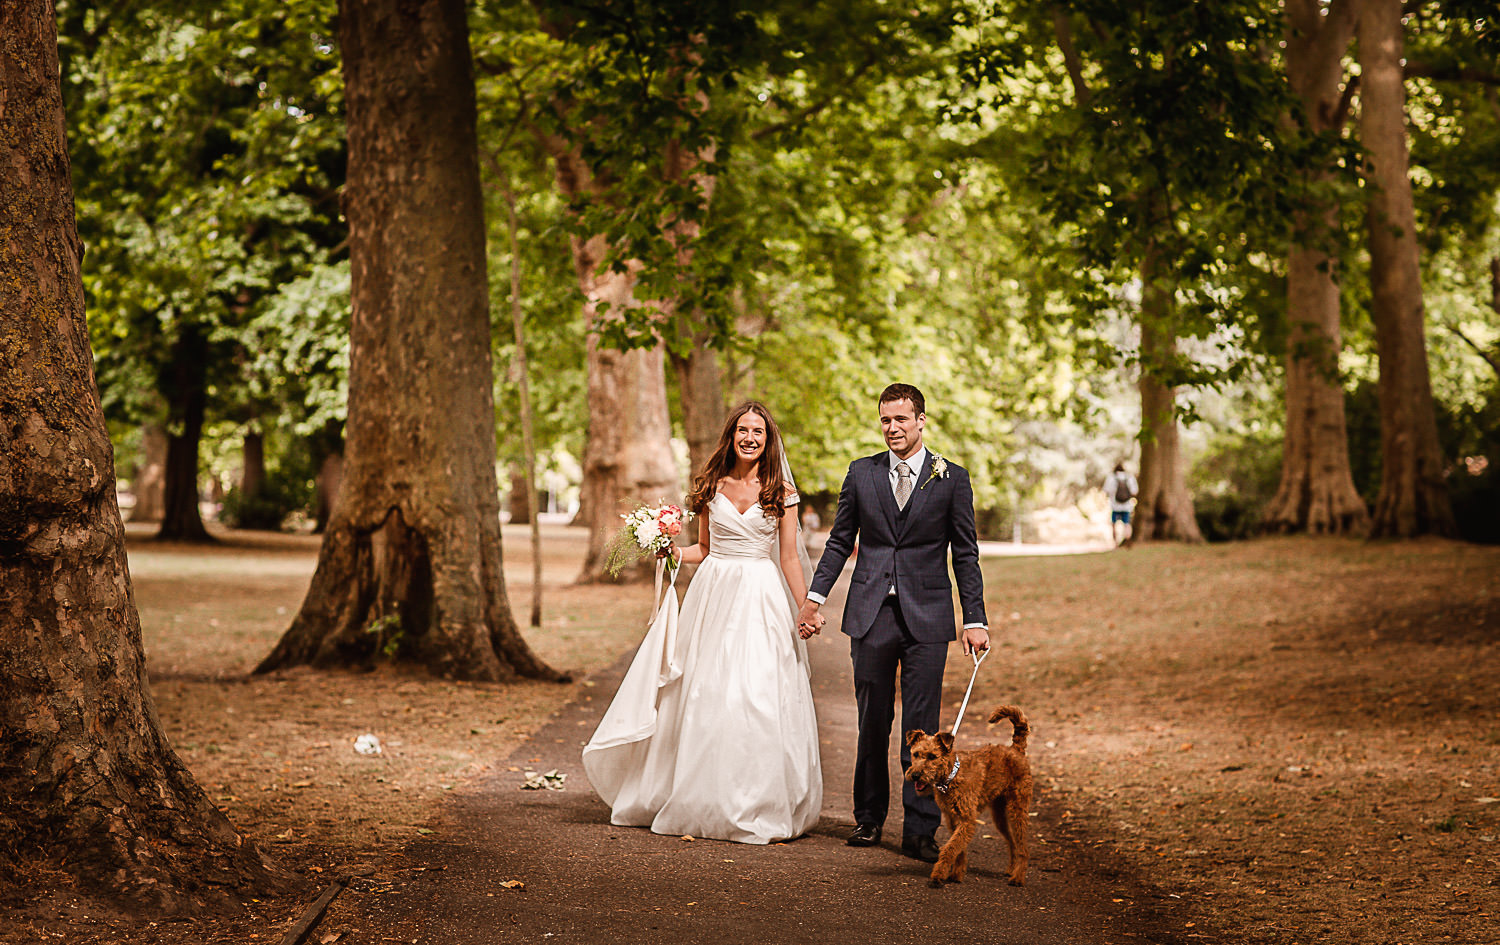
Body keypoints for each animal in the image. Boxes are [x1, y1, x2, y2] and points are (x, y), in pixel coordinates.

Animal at [900, 708, 1032, 894]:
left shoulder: (967, 820)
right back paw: (1011, 870)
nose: (915, 775)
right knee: (1012, 843)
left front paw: (938, 876)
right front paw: (956, 874)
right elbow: (958, 849)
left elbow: (950, 849)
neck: (952, 775)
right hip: (999, 814)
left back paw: (1018, 878)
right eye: (916, 754)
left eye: (933, 756)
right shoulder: (953, 819)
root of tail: (1016, 750)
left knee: (1023, 848)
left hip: (1017, 809)